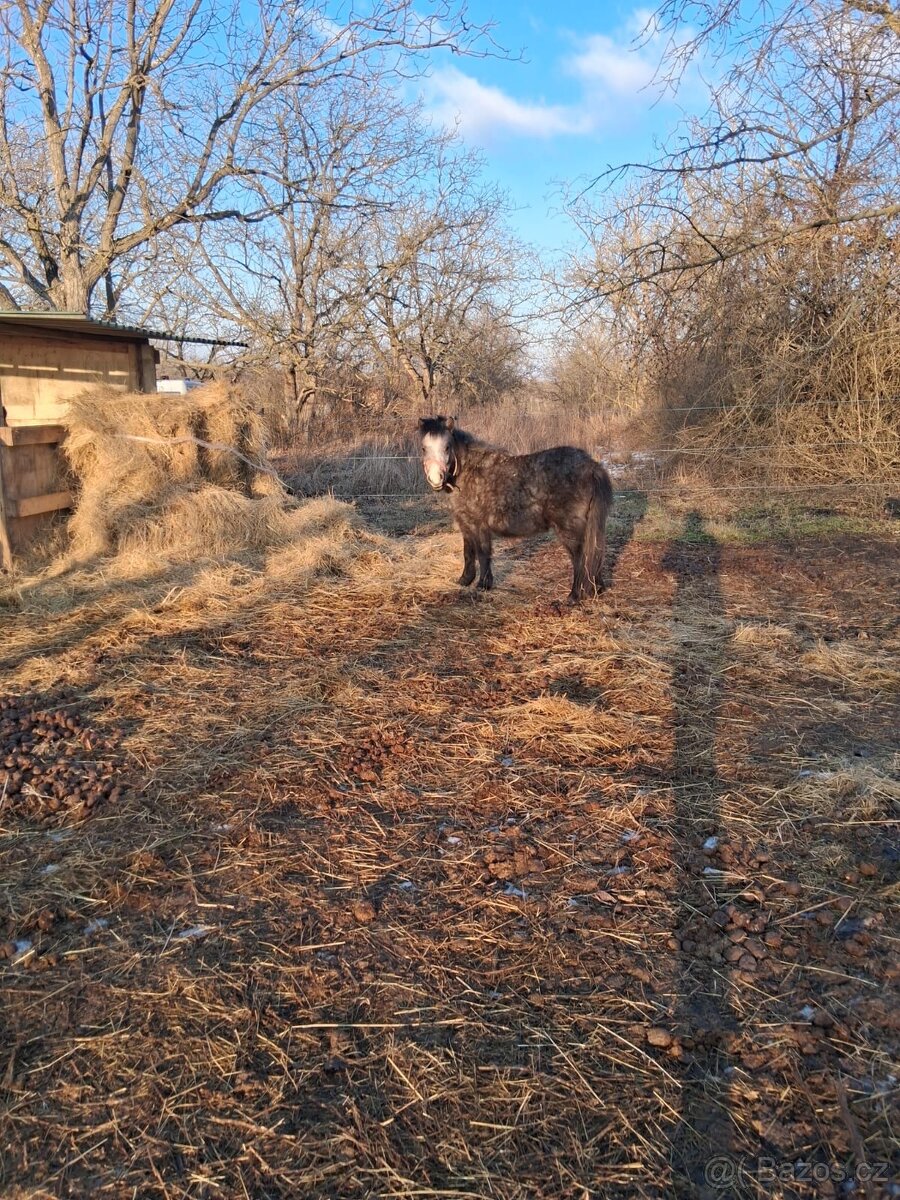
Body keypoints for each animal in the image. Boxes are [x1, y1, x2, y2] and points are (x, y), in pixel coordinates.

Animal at [418, 415, 613, 602]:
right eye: (423, 449)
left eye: (447, 447)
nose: (436, 479)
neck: (469, 471)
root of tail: (591, 466)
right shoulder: (466, 524)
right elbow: (468, 553)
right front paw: (465, 581)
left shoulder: (479, 525)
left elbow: (482, 554)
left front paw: (482, 585)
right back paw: (596, 589)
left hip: (569, 530)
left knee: (580, 558)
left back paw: (574, 596)